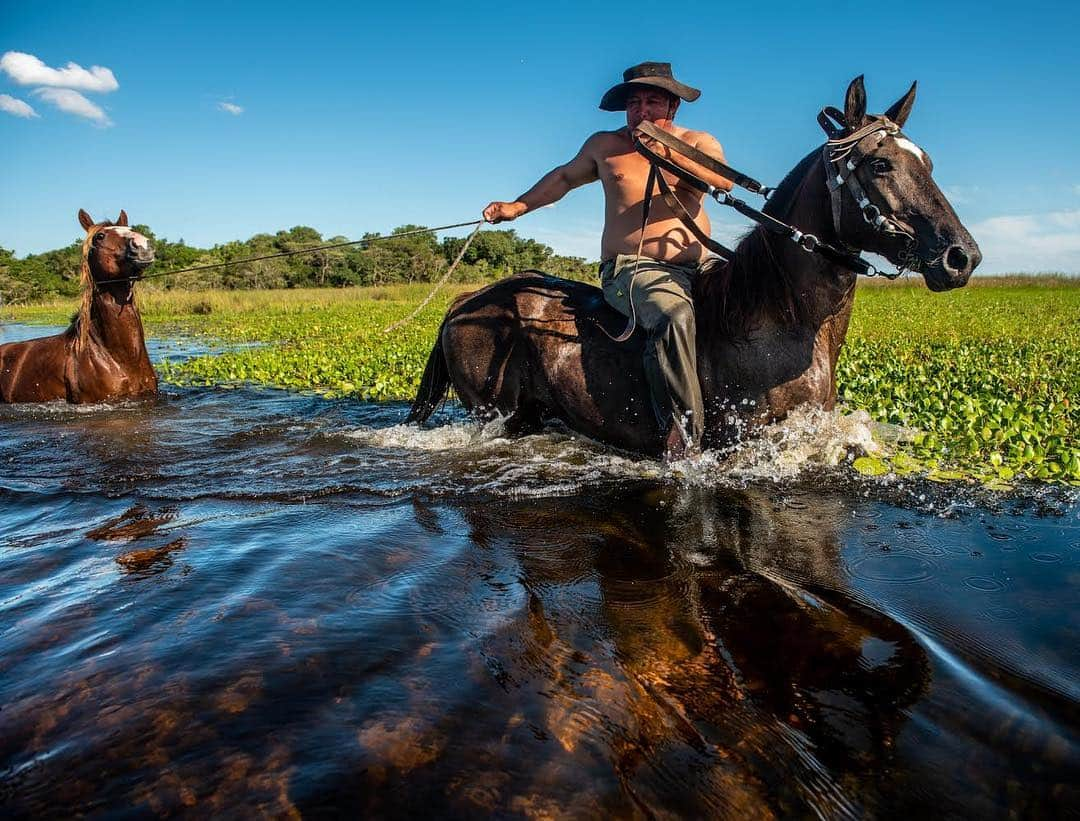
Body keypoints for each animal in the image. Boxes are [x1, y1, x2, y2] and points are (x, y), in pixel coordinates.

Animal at [408, 77, 984, 458]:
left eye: (927, 162)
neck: (781, 319)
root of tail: (466, 303)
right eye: (880, 164)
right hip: (494, 416)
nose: (962, 257)